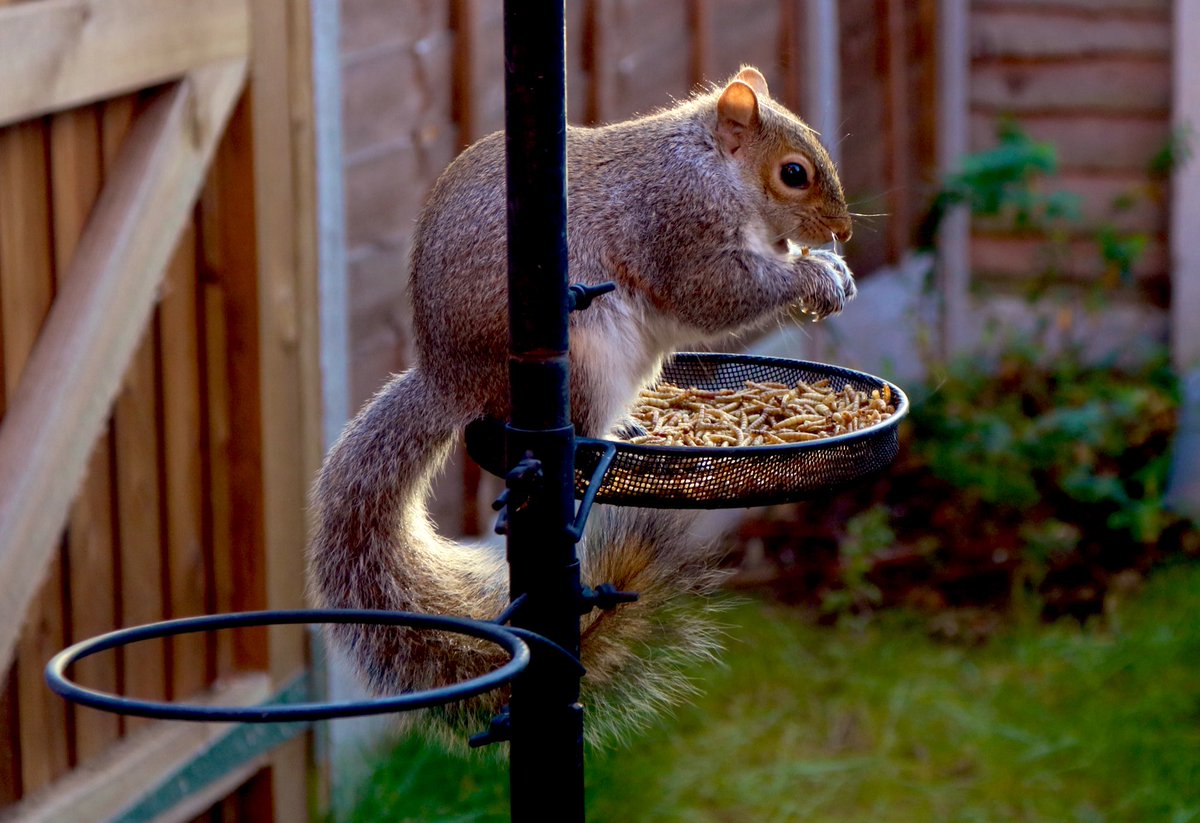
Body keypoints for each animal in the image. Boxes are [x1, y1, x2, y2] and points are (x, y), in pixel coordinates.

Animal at [307, 67, 855, 745]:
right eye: (794, 173)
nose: (843, 233)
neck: (713, 167)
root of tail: (449, 378)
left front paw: (827, 267)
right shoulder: (675, 222)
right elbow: (715, 293)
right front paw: (816, 276)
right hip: (587, 358)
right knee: (584, 432)